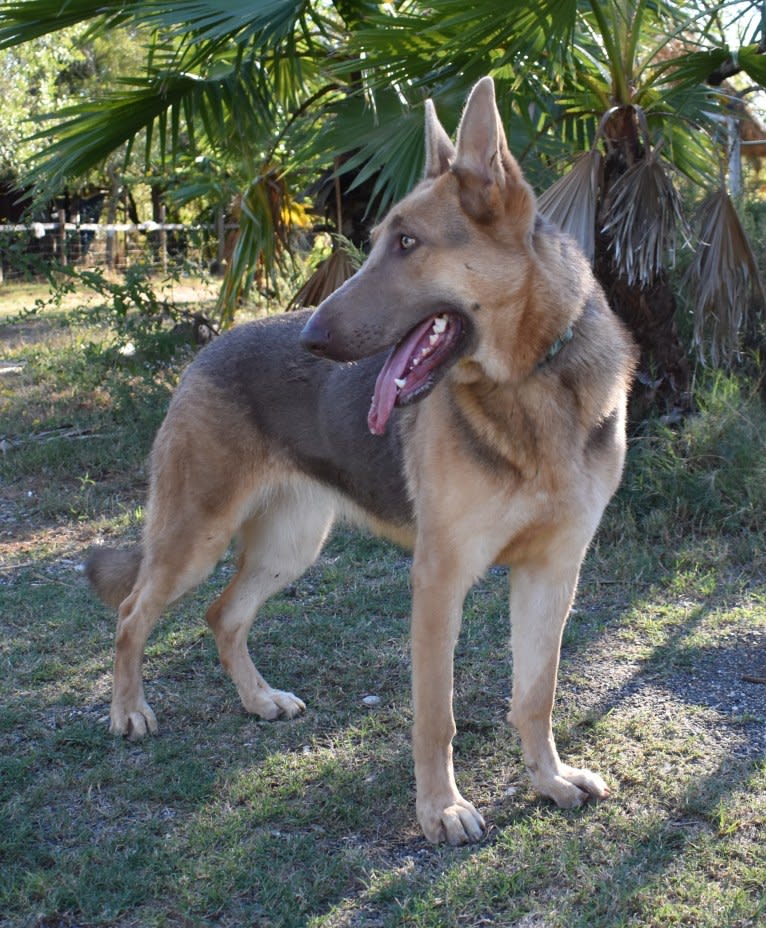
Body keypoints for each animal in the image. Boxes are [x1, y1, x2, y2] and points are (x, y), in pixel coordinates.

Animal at [85, 78, 636, 848]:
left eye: (407, 243)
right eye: (377, 243)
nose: (311, 338)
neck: (530, 381)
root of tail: (211, 347)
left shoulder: (553, 573)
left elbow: (537, 693)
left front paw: (549, 781)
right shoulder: (439, 579)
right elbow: (436, 716)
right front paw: (441, 809)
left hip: (289, 547)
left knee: (223, 614)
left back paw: (258, 699)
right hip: (194, 538)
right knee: (134, 614)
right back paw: (128, 711)